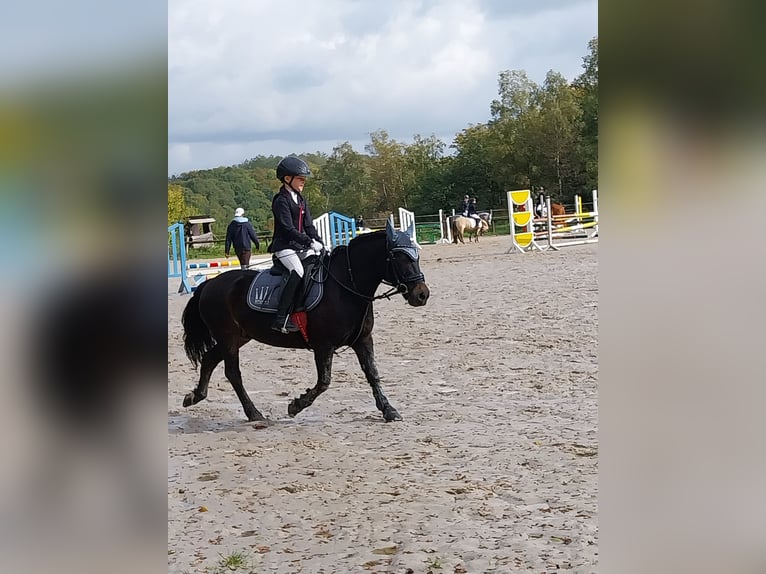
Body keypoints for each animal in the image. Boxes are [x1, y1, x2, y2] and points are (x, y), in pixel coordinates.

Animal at [181, 221, 430, 423]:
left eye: (416, 255)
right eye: (398, 257)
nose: (422, 295)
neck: (346, 287)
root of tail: (209, 285)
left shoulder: (363, 340)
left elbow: (372, 373)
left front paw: (389, 410)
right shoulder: (323, 345)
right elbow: (324, 382)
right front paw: (295, 406)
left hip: (239, 337)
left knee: (209, 358)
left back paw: (194, 397)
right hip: (228, 337)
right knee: (233, 373)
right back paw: (254, 413)